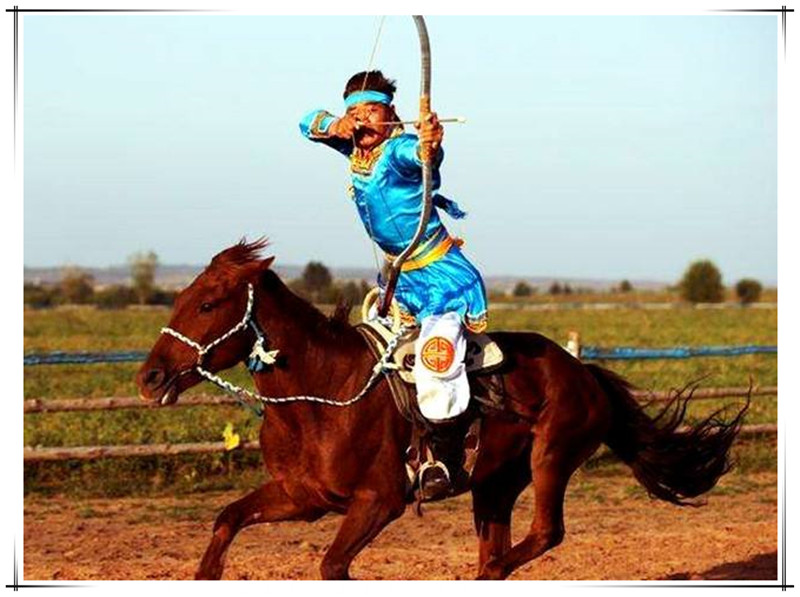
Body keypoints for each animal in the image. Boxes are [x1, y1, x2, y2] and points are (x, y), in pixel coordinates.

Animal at [136, 239, 744, 576]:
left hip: (551, 458)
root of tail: (581, 371)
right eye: (180, 297)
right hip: (494, 483)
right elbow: (226, 520)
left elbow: (332, 565)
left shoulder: (380, 502)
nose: (149, 378)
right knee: (498, 545)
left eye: (209, 304)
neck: (322, 396)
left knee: (540, 537)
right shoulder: (301, 497)